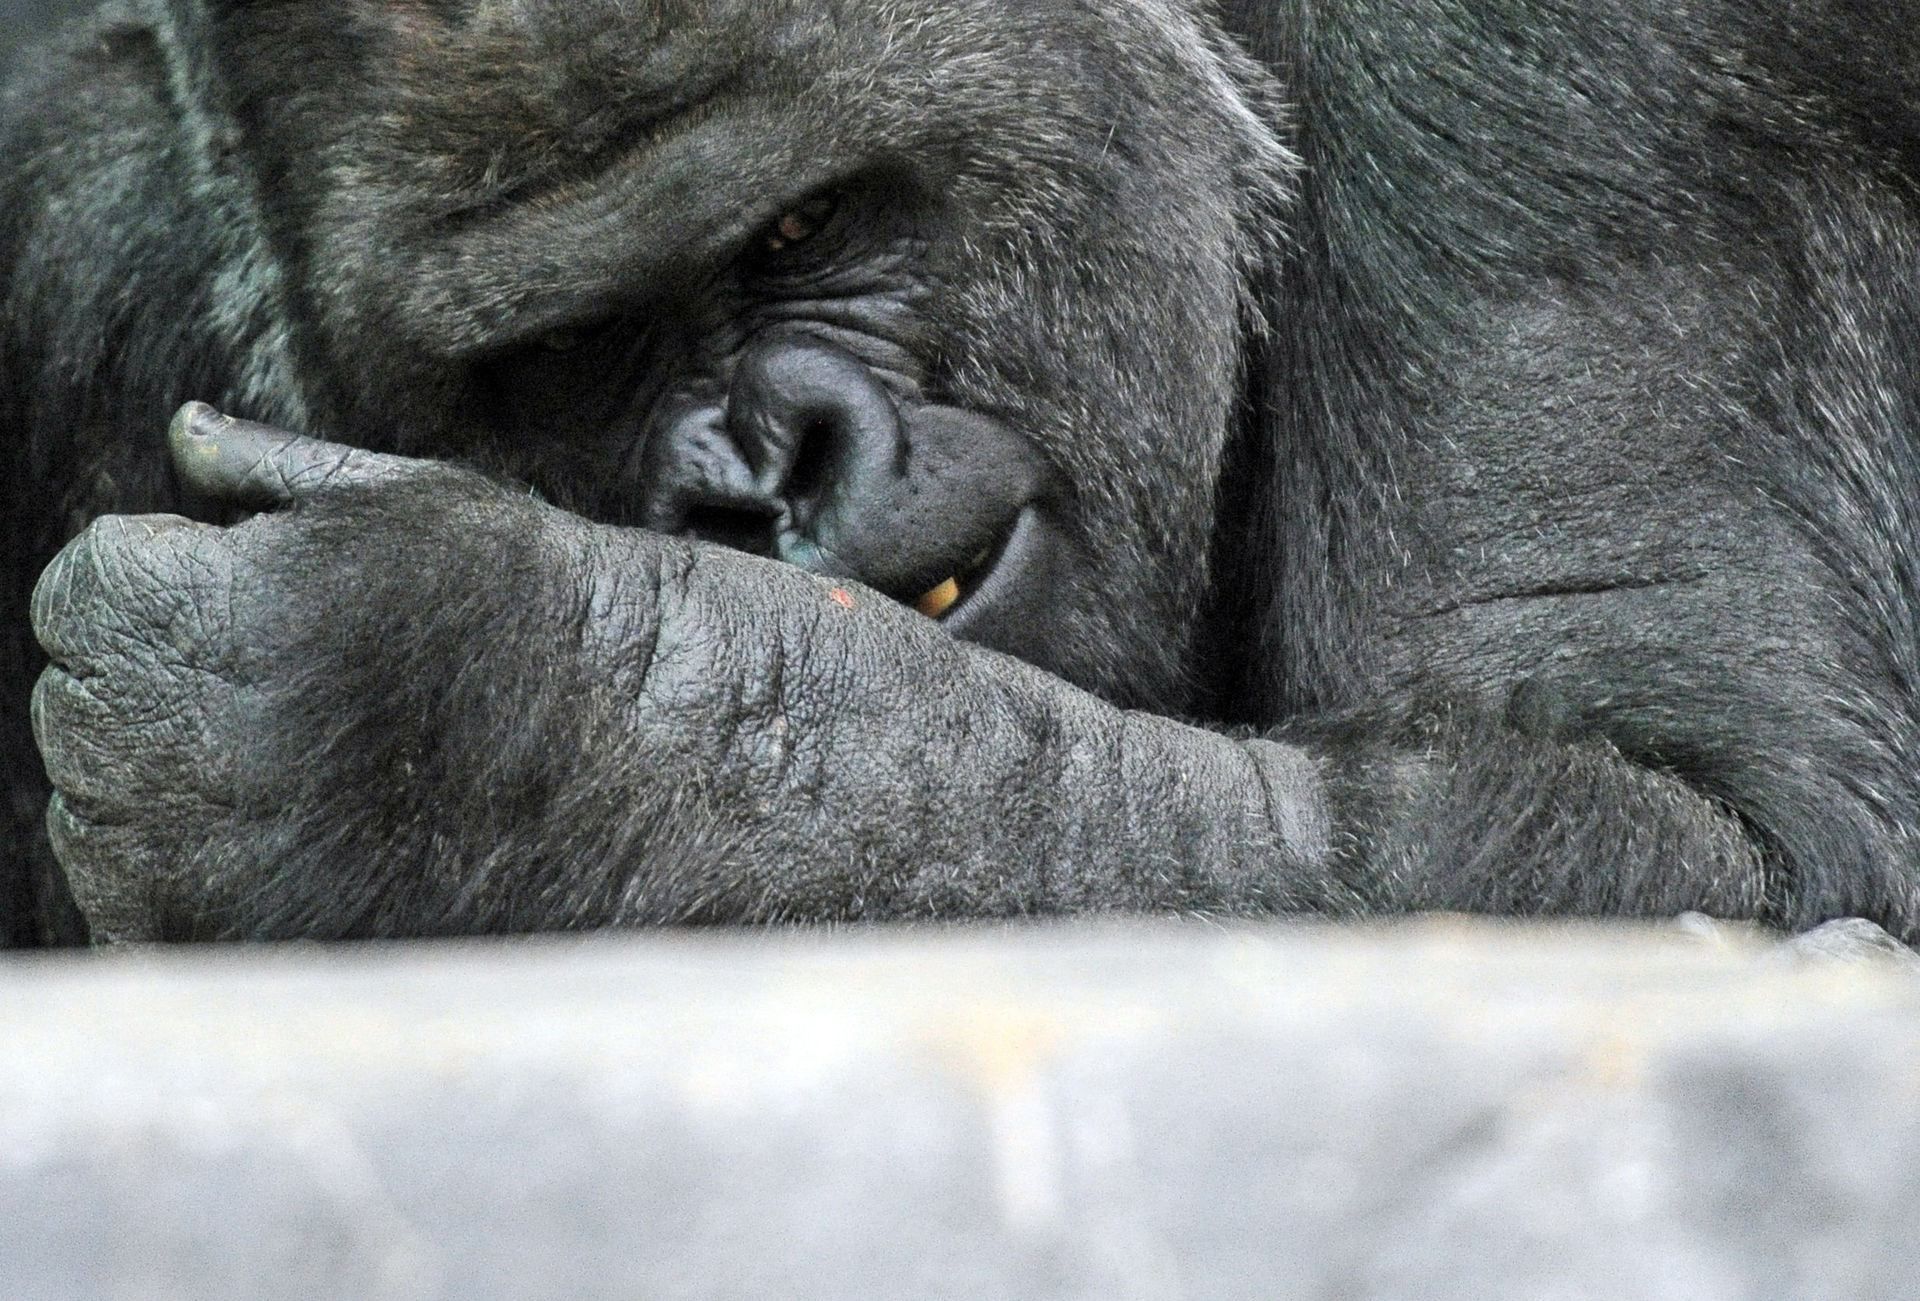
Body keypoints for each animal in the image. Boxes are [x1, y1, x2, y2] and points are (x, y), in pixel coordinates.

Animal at [3, 0, 1920, 944]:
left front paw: (463, 719)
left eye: (808, 224)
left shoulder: (1553, 71)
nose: (756, 478)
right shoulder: (69, 230)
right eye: (565, 358)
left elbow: (1739, 836)